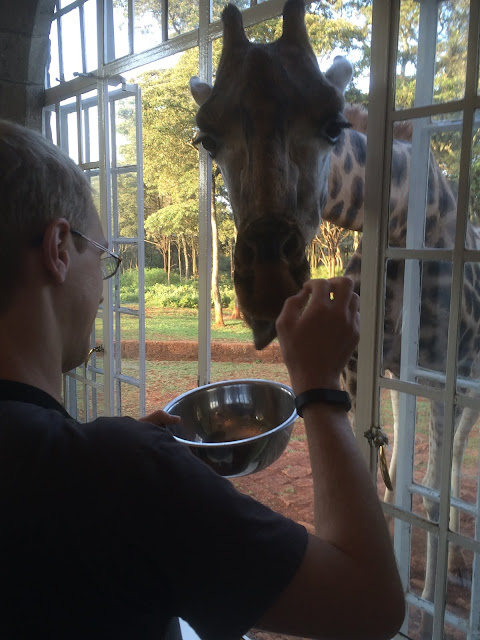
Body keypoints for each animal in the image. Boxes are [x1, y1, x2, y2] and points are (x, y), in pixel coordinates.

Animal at [189, 0, 478, 632]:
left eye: (333, 124)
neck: (403, 220)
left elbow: (436, 484)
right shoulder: (362, 367)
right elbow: (380, 479)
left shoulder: (446, 372)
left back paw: (456, 566)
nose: (269, 288)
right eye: (205, 136)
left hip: (467, 374)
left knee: (452, 458)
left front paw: (427, 604)